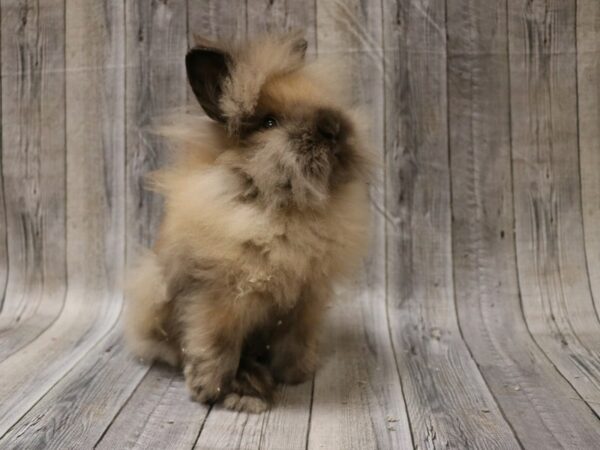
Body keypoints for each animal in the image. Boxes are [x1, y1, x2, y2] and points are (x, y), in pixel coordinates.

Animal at [124, 29, 372, 414]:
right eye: (269, 122)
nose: (333, 127)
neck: (281, 208)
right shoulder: (218, 300)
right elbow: (216, 346)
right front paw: (210, 391)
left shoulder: (306, 301)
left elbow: (295, 341)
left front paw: (296, 375)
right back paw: (247, 387)